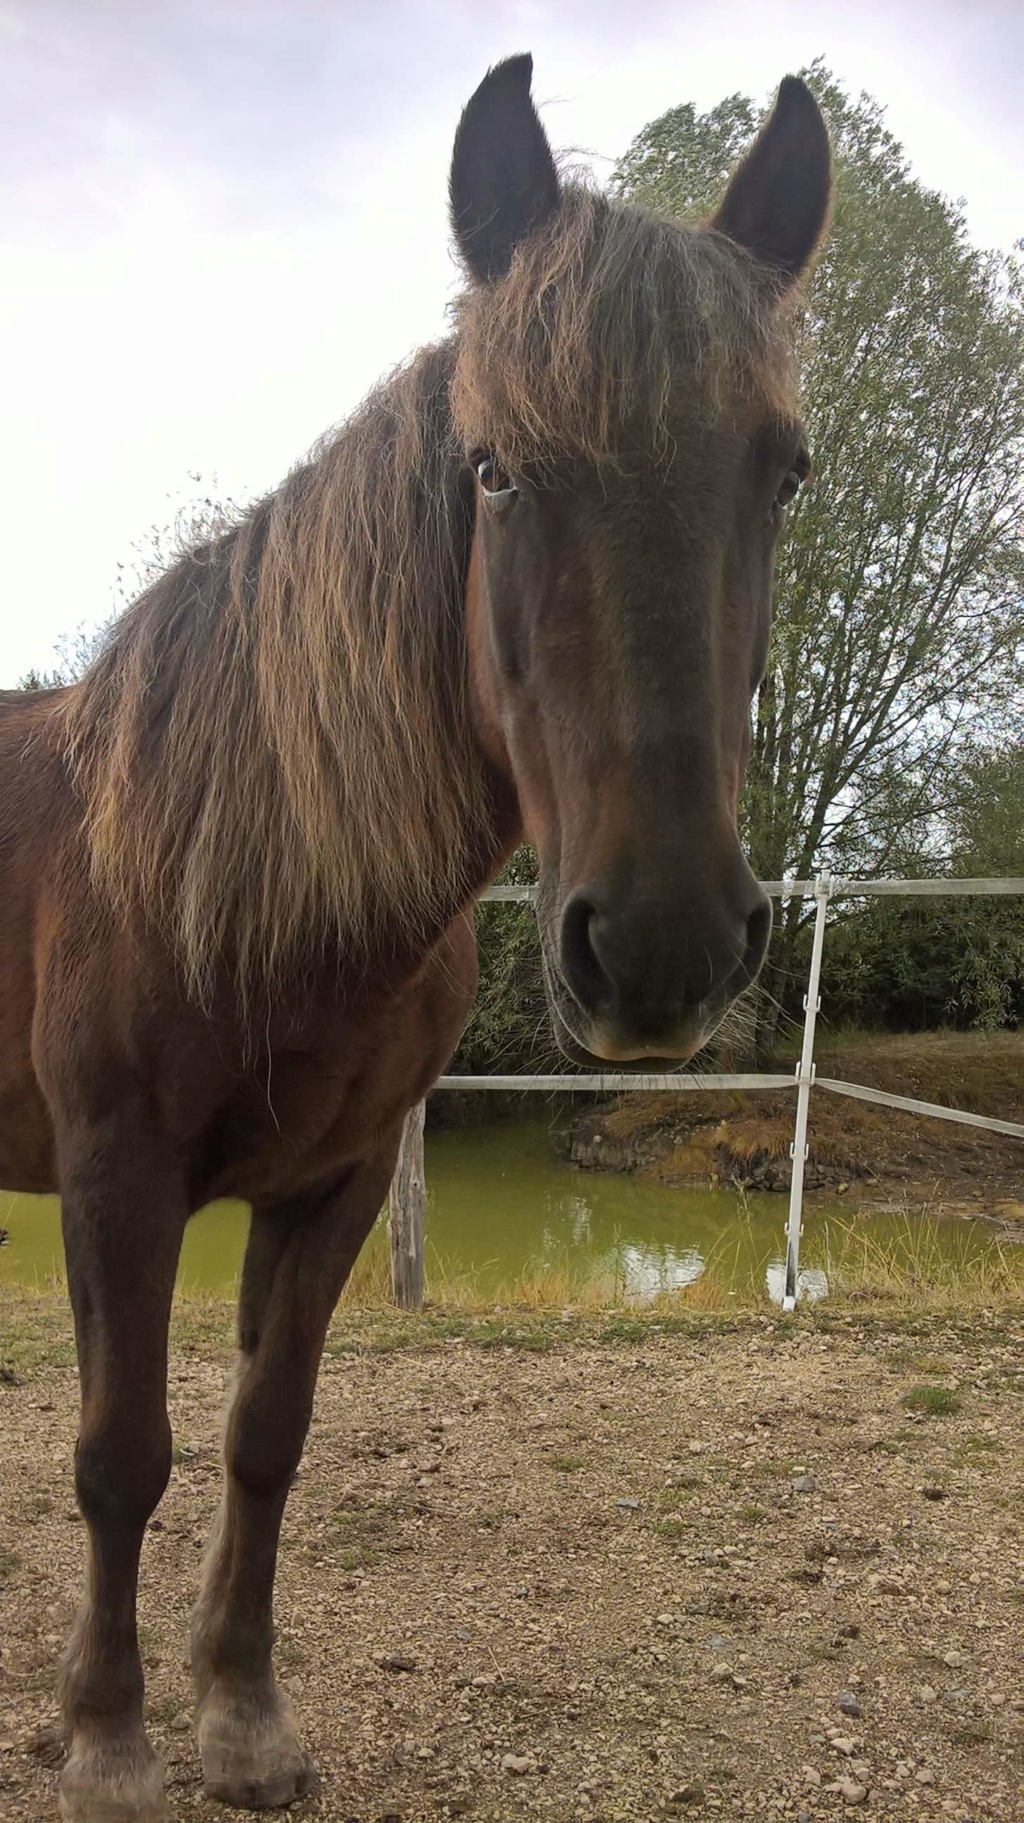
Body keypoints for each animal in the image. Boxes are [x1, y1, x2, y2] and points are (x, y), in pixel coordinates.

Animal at [0, 56, 823, 1823]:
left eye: (782, 466)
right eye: (496, 467)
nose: (657, 942)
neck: (247, 858)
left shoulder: (337, 1179)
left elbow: (265, 1434)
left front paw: (242, 1719)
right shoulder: (116, 1173)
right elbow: (119, 1454)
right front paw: (107, 1738)